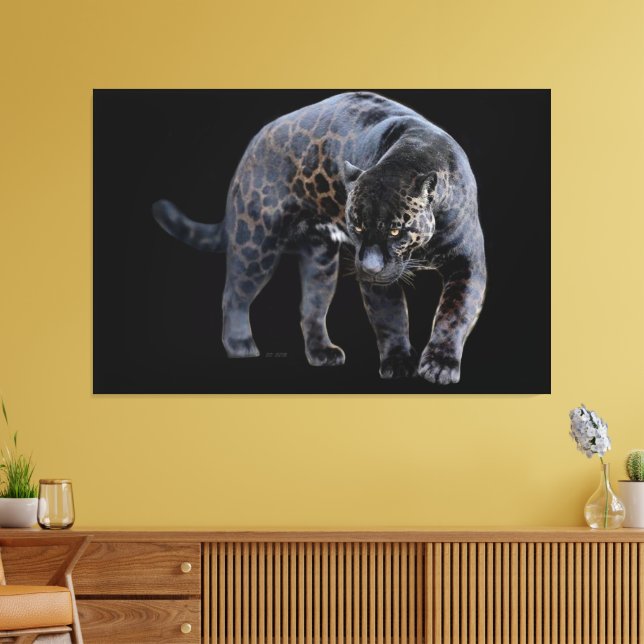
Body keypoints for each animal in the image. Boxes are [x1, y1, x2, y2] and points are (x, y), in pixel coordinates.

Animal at [152, 91, 487, 384]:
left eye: (395, 230)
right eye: (357, 226)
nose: (369, 267)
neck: (412, 153)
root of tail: (252, 146)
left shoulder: (467, 262)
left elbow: (454, 313)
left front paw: (440, 365)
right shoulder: (379, 280)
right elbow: (390, 317)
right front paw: (398, 362)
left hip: (321, 261)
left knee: (310, 308)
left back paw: (322, 353)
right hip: (256, 243)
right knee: (234, 294)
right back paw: (240, 345)